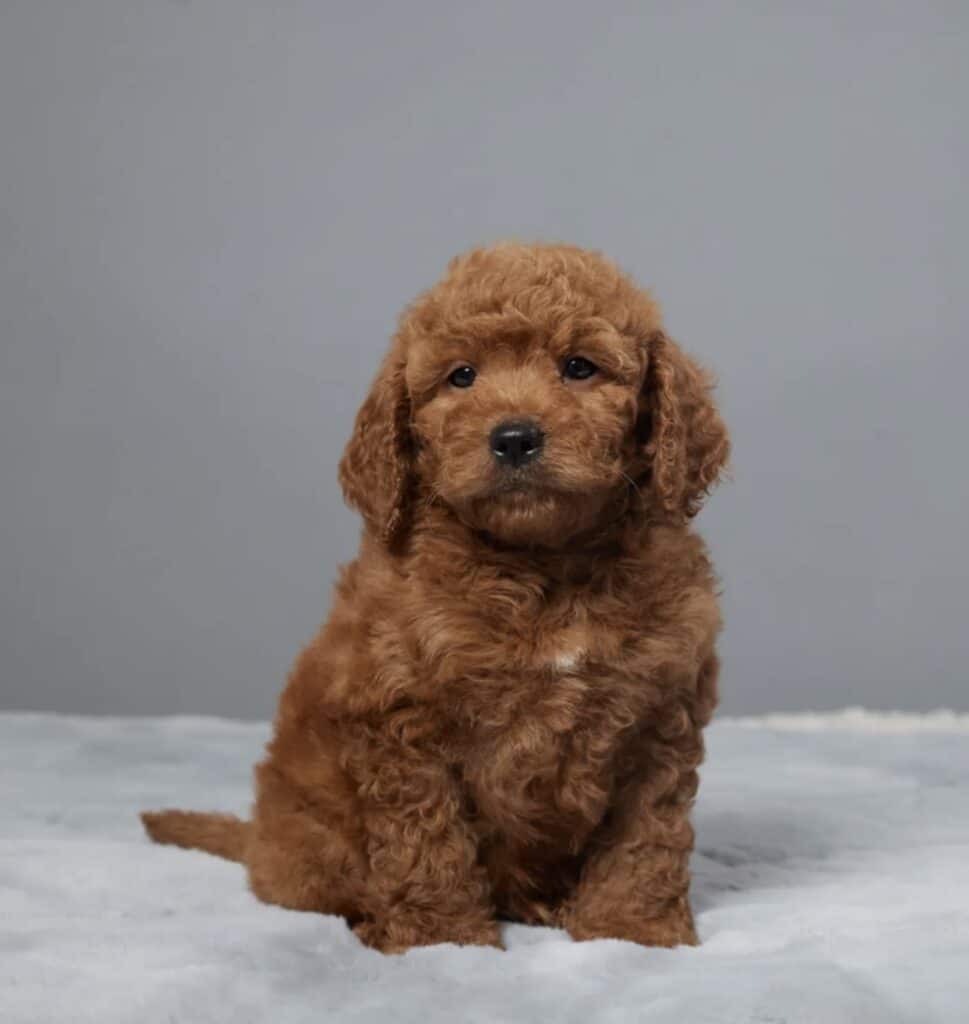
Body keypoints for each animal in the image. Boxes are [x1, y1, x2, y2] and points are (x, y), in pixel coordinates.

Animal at [143, 241, 729, 950]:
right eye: (461, 377)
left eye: (579, 367)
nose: (514, 437)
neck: (543, 564)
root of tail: (256, 840)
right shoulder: (404, 719)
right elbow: (427, 842)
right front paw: (442, 939)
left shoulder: (661, 714)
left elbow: (646, 837)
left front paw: (631, 928)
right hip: (312, 847)